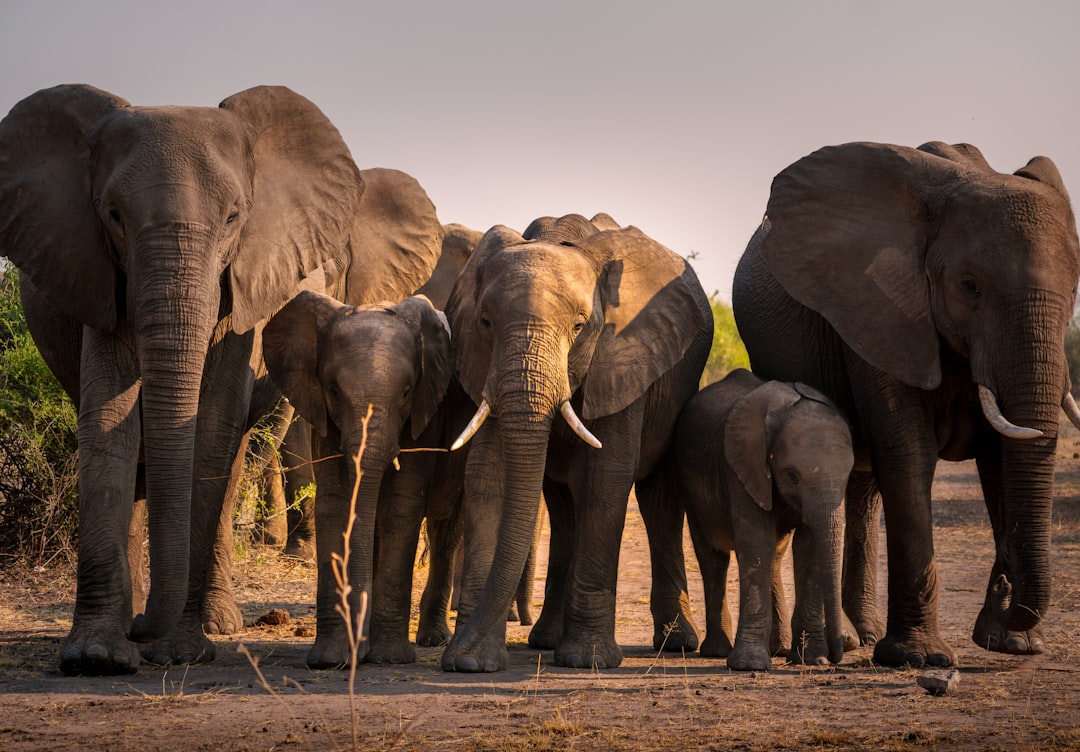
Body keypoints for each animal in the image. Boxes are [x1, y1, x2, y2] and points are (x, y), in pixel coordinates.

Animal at [0, 84, 442, 675]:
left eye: (234, 217)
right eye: (112, 214)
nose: (149, 632)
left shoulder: (247, 294)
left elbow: (211, 424)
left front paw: (181, 651)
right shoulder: (96, 273)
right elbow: (109, 419)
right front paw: (96, 657)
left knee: (228, 459)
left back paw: (211, 624)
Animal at [441, 213, 713, 672]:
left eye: (580, 326)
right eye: (485, 323)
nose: (453, 652)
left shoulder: (623, 355)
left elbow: (605, 478)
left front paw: (588, 660)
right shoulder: (484, 364)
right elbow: (489, 476)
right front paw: (472, 663)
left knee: (658, 501)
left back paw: (677, 644)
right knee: (564, 507)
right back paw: (546, 640)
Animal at [670, 368, 853, 670]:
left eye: (849, 474)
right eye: (791, 475)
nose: (836, 656)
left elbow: (809, 548)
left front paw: (812, 659)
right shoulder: (740, 468)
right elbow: (756, 543)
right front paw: (749, 665)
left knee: (775, 555)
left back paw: (779, 648)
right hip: (691, 489)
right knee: (713, 558)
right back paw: (718, 651)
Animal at [731, 141, 1080, 668]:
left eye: (1076, 288)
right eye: (969, 285)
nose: (1004, 585)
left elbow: (1003, 457)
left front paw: (1012, 644)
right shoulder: (873, 308)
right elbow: (908, 452)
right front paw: (920, 658)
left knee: (861, 488)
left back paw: (864, 635)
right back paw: (847, 642)